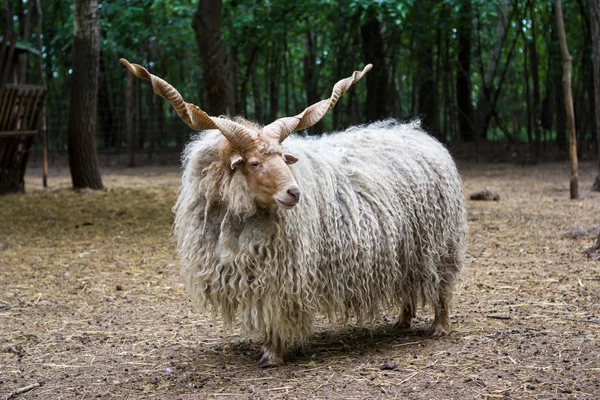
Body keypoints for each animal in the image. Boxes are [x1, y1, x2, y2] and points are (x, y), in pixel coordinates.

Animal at [120, 57, 468, 368]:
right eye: (254, 162)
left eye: (282, 159)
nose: (294, 193)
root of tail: (419, 135)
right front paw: (266, 348)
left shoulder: (281, 273)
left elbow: (274, 310)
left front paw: (272, 354)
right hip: (405, 249)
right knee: (407, 284)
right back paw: (402, 321)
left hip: (439, 245)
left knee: (441, 285)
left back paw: (439, 327)